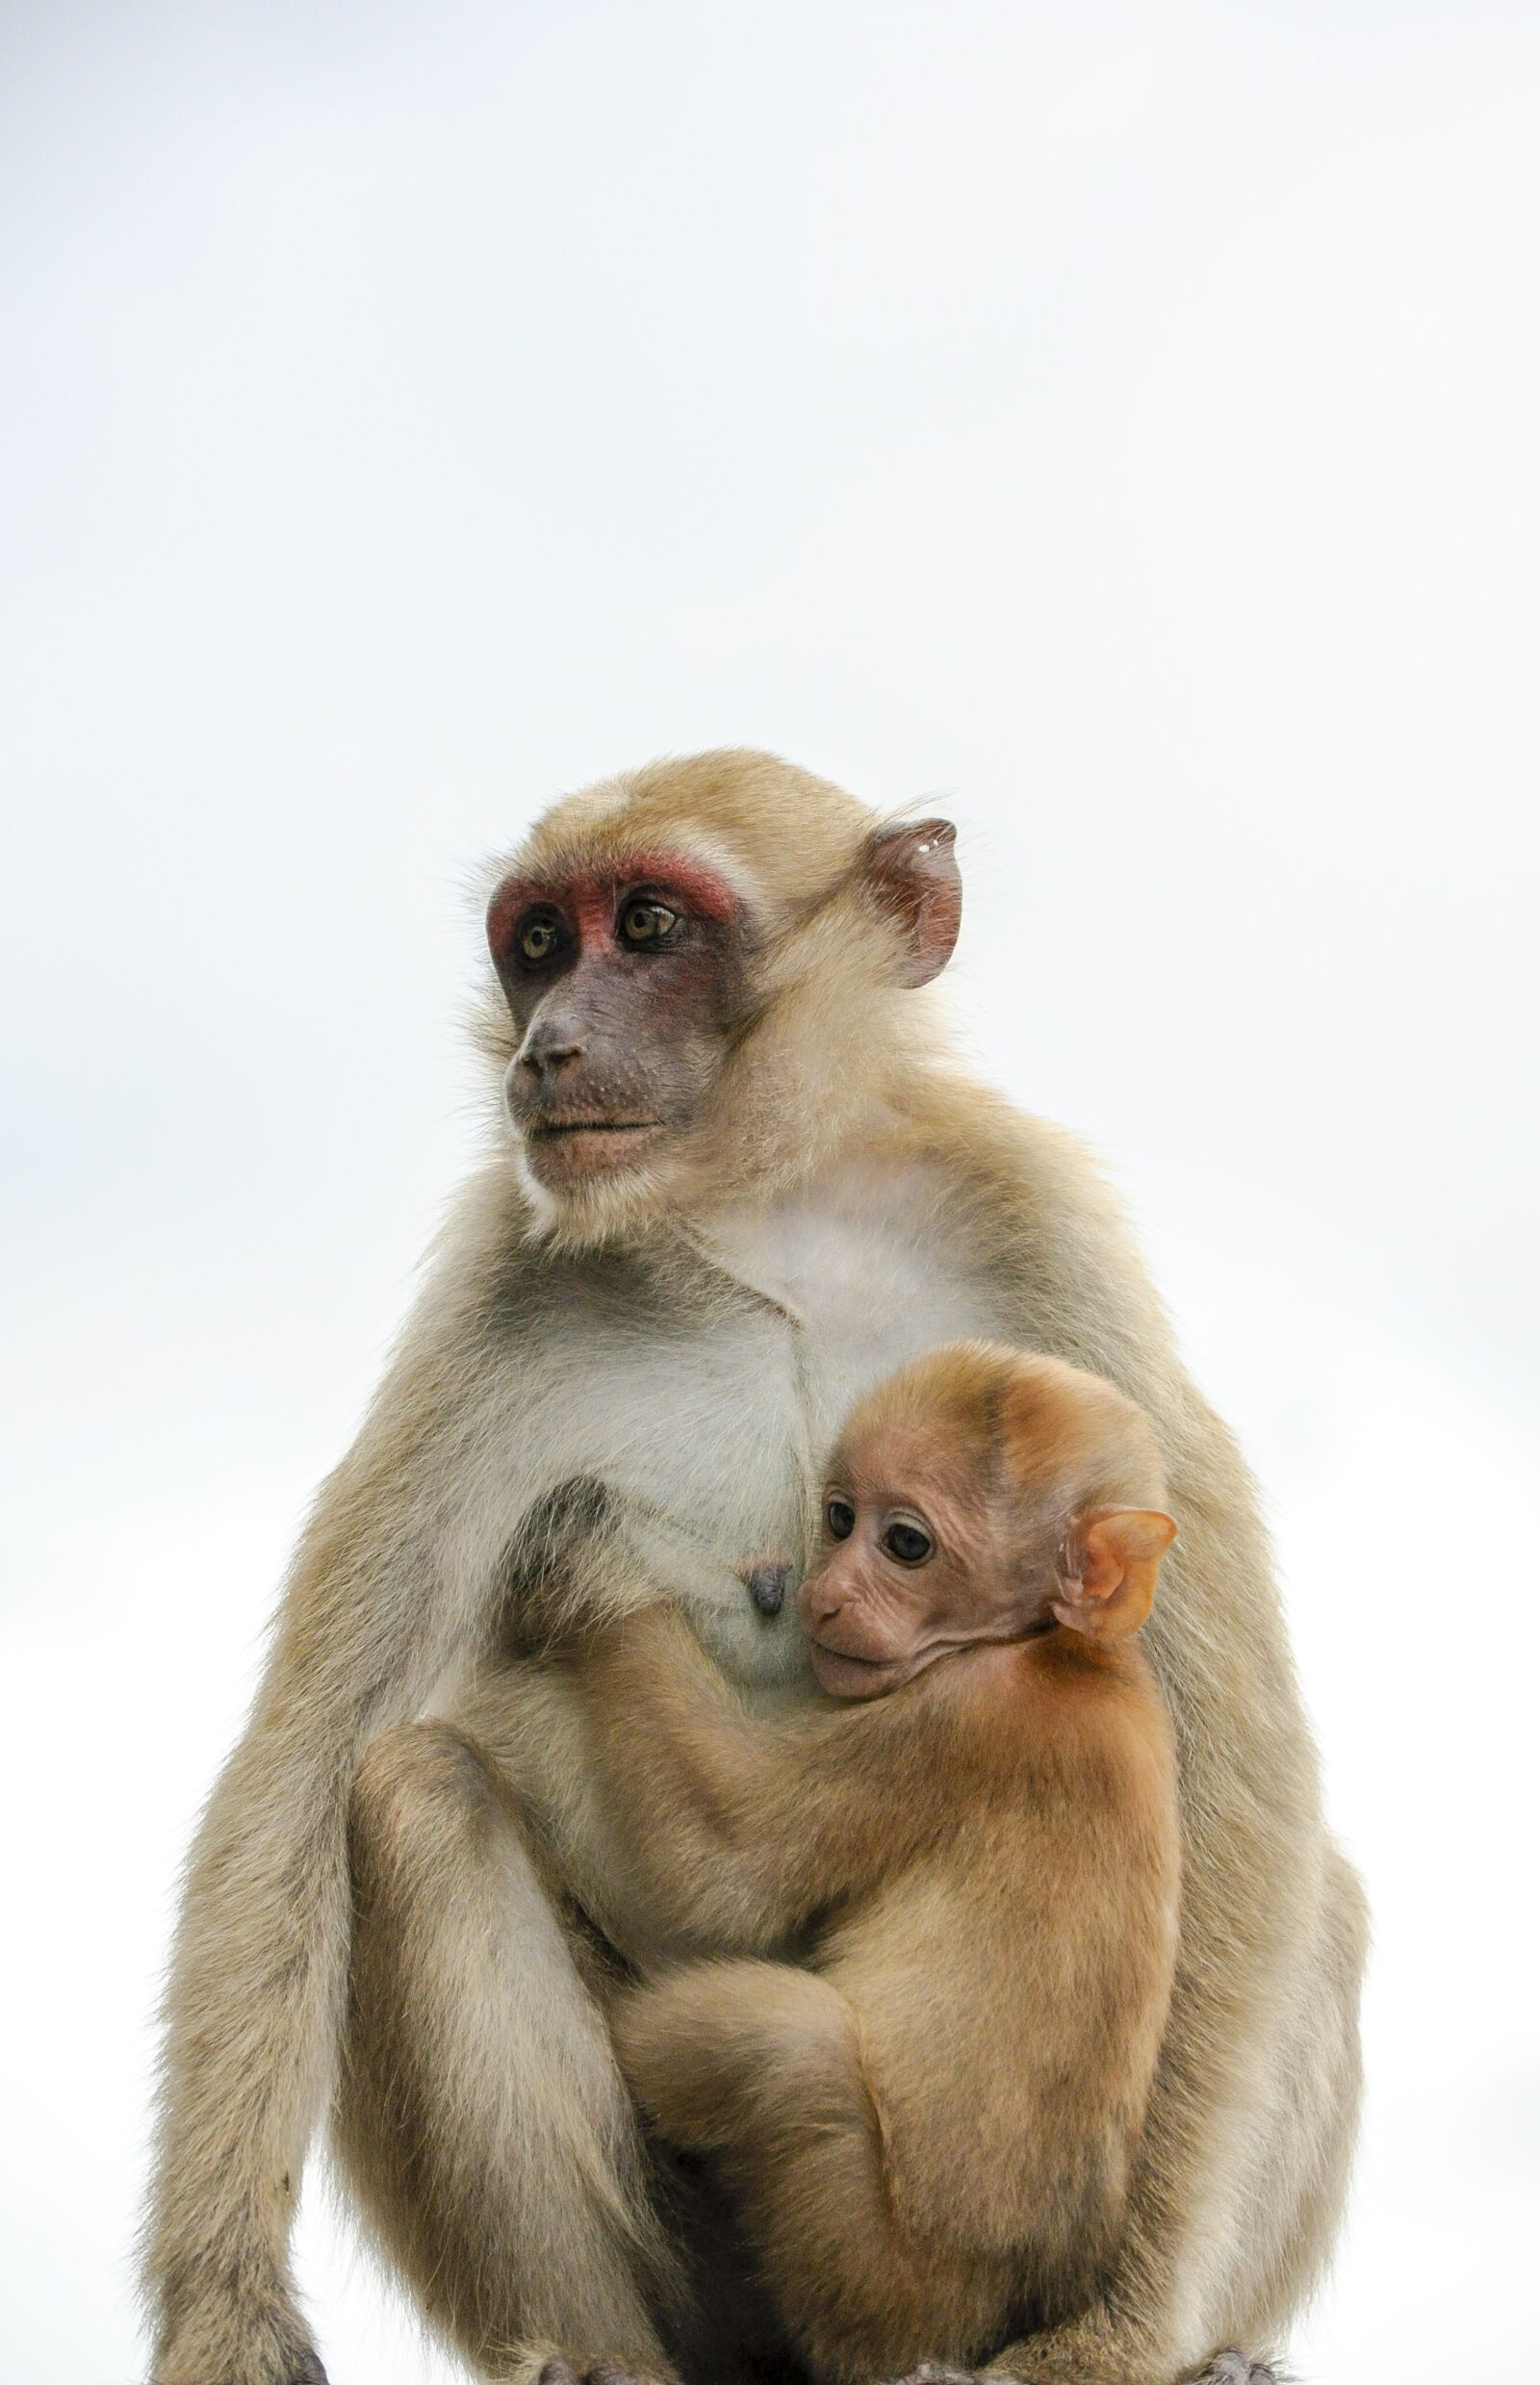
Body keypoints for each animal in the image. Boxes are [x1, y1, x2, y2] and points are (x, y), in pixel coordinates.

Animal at [545, 1340, 1184, 2385]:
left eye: (906, 1545)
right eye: (840, 1519)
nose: (824, 1595)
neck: (1056, 1644)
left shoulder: (962, 1718)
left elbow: (724, 1867)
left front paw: (593, 1561)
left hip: (872, 2284)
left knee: (781, 2045)